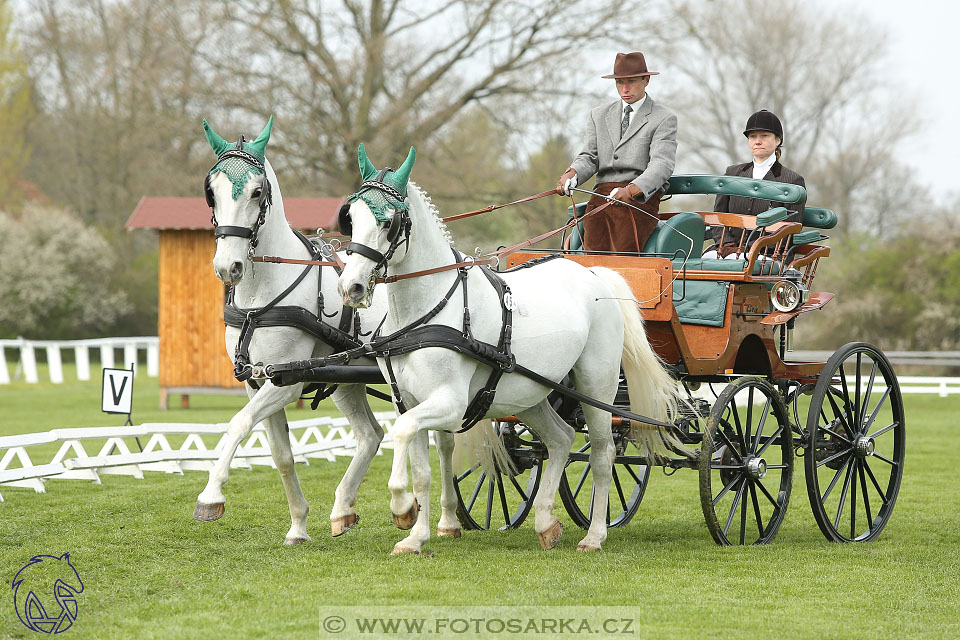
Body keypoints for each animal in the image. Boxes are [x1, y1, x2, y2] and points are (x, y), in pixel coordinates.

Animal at [197, 117, 392, 544]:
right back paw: (344, 508)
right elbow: (282, 455)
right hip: (349, 381)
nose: (227, 267)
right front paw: (299, 526)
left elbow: (238, 424)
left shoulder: (285, 381)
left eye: (257, 192)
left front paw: (210, 496)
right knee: (371, 434)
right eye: (211, 192)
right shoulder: (257, 381)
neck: (259, 301)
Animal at [338, 144, 684, 552]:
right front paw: (415, 536)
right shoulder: (407, 401)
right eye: (350, 218)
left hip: (597, 385)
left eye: (389, 222)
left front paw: (402, 508)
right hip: (531, 393)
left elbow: (404, 434)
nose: (351, 287)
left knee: (603, 454)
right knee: (561, 439)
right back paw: (546, 522)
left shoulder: (450, 402)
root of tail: (595, 272)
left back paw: (595, 535)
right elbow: (420, 467)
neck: (427, 312)